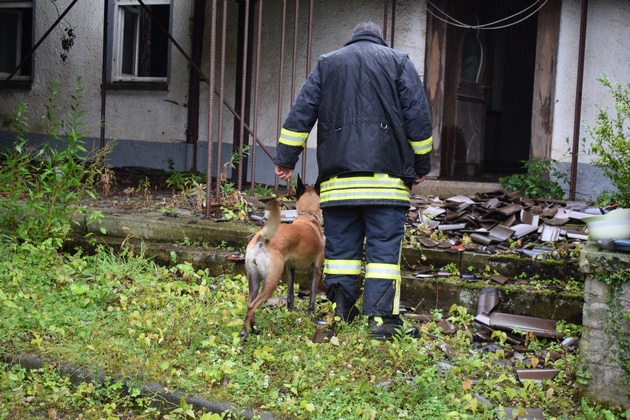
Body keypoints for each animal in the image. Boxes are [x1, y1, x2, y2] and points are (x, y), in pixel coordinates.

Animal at [239, 176, 324, 340]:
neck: (308, 217)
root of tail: (262, 238)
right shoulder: (316, 269)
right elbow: (312, 297)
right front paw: (311, 316)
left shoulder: (290, 268)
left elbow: (290, 294)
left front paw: (290, 311)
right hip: (271, 281)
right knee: (253, 305)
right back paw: (245, 332)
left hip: (254, 280)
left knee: (250, 302)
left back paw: (254, 328)